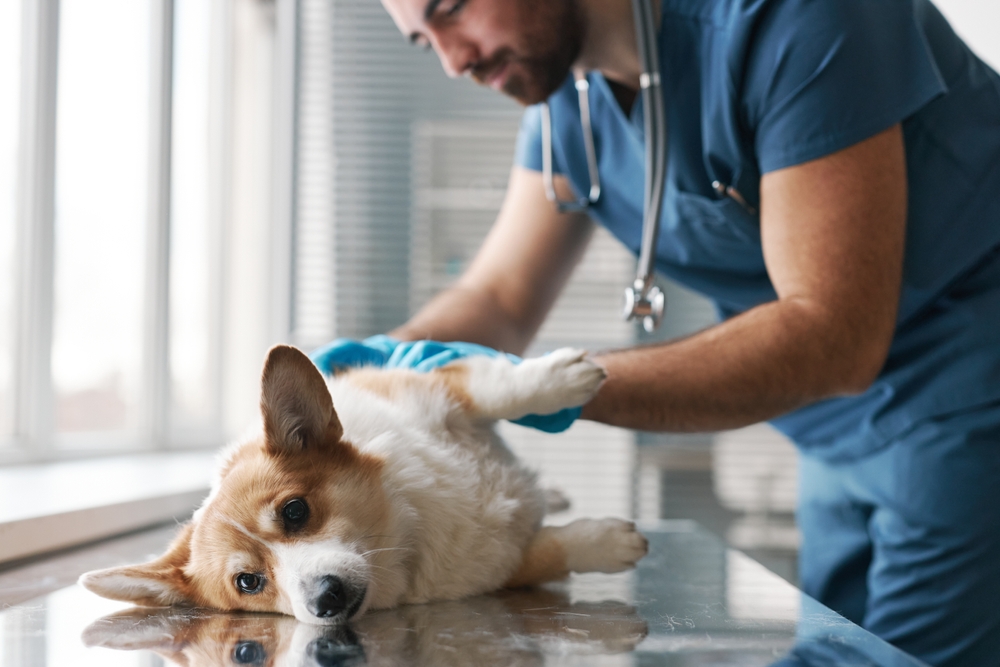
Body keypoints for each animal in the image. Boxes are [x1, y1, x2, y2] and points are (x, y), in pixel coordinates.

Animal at [82, 344, 652, 628]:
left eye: (294, 511)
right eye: (248, 582)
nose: (324, 600)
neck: (407, 532)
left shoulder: (429, 384)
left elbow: (497, 388)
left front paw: (562, 378)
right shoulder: (503, 566)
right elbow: (551, 551)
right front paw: (611, 542)